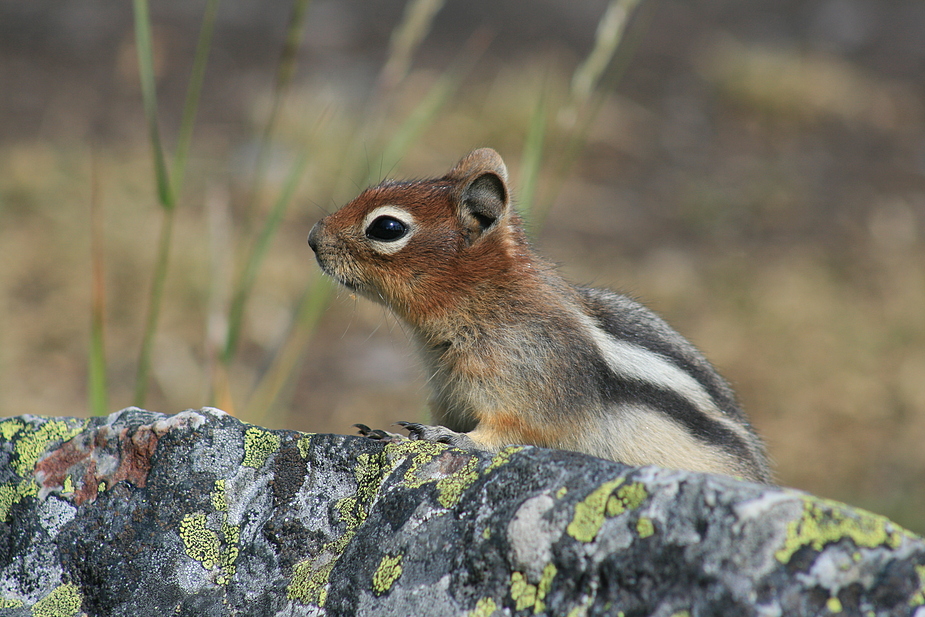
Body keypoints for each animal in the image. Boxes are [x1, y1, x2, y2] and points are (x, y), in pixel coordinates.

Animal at [308, 148, 772, 482]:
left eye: (387, 228)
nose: (313, 238)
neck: (489, 303)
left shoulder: (529, 392)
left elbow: (501, 436)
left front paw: (447, 437)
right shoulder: (447, 393)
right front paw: (387, 432)